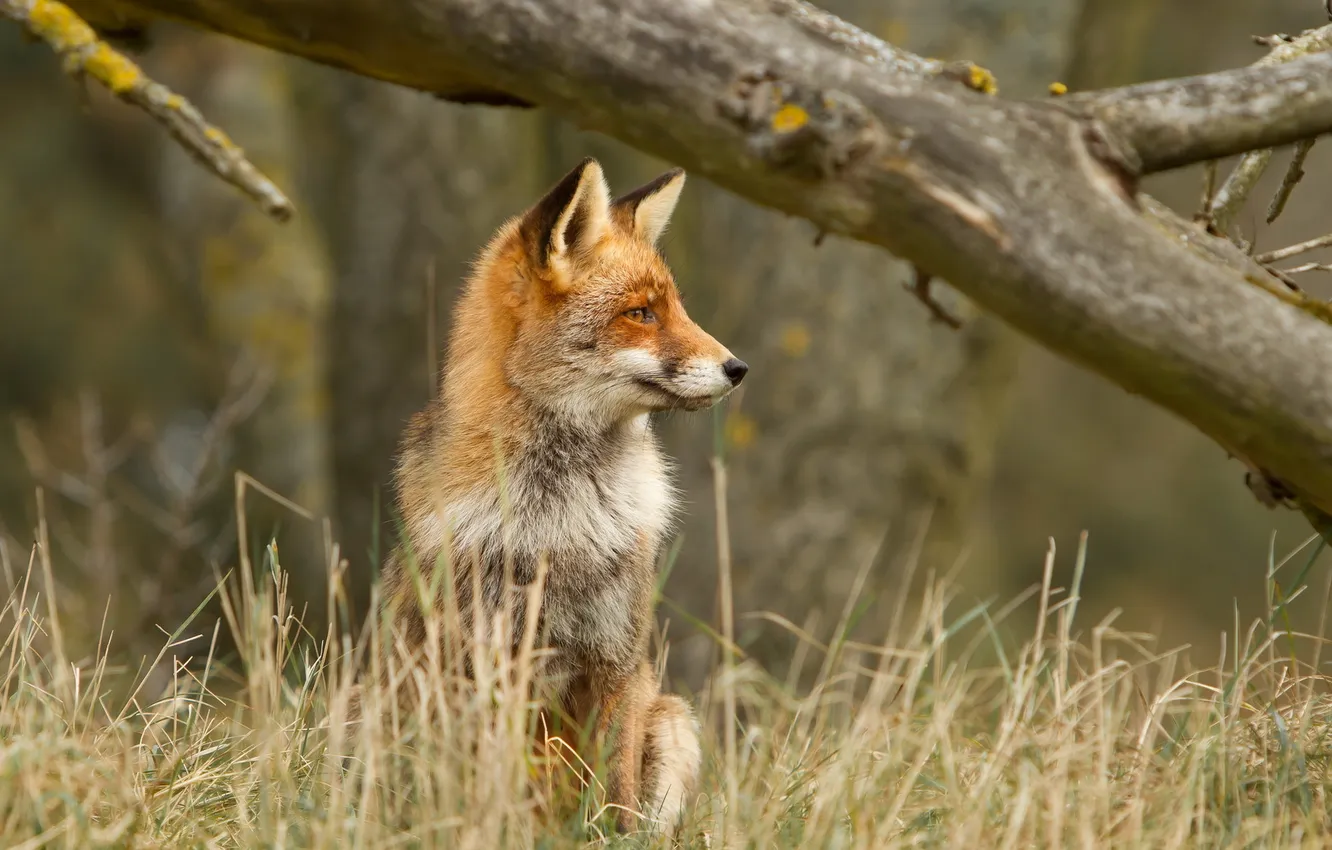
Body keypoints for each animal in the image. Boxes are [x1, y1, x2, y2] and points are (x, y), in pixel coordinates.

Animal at [375, 157, 748, 833]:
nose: (739, 368)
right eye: (642, 313)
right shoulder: (487, 668)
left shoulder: (616, 659)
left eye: (676, 308)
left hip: (672, 719)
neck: (564, 521)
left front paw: (611, 838)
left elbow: (615, 795)